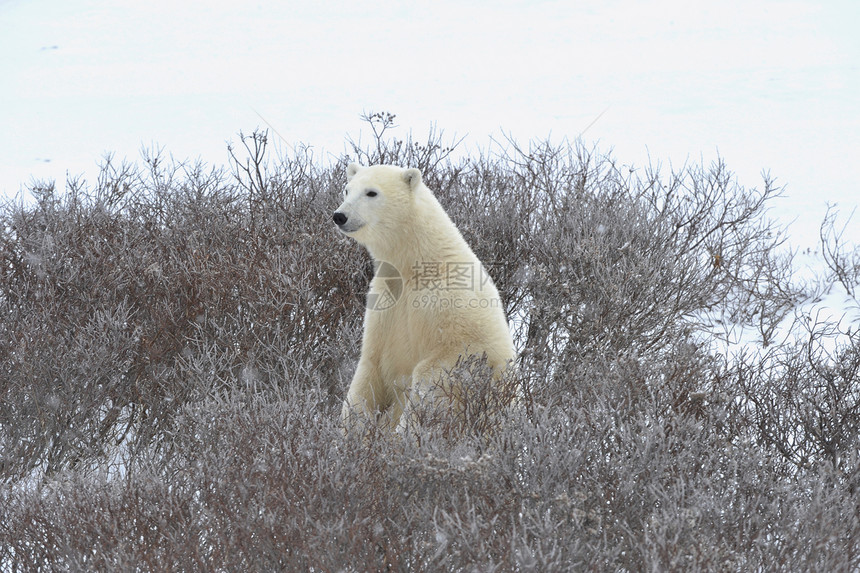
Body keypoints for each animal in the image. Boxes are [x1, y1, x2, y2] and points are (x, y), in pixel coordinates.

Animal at [332, 161, 512, 428]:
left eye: (371, 192)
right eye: (346, 189)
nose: (340, 216)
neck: (416, 265)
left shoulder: (448, 302)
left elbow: (441, 365)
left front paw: (406, 428)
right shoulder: (385, 302)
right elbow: (369, 367)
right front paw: (351, 427)